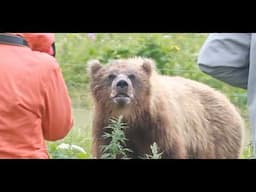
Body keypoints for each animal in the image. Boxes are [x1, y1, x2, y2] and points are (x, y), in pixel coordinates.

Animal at [87, 57, 245, 159]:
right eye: (111, 75)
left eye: (132, 76)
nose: (122, 84)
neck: (132, 116)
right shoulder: (106, 125)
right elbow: (109, 150)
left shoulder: (160, 126)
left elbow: (167, 151)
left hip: (218, 139)